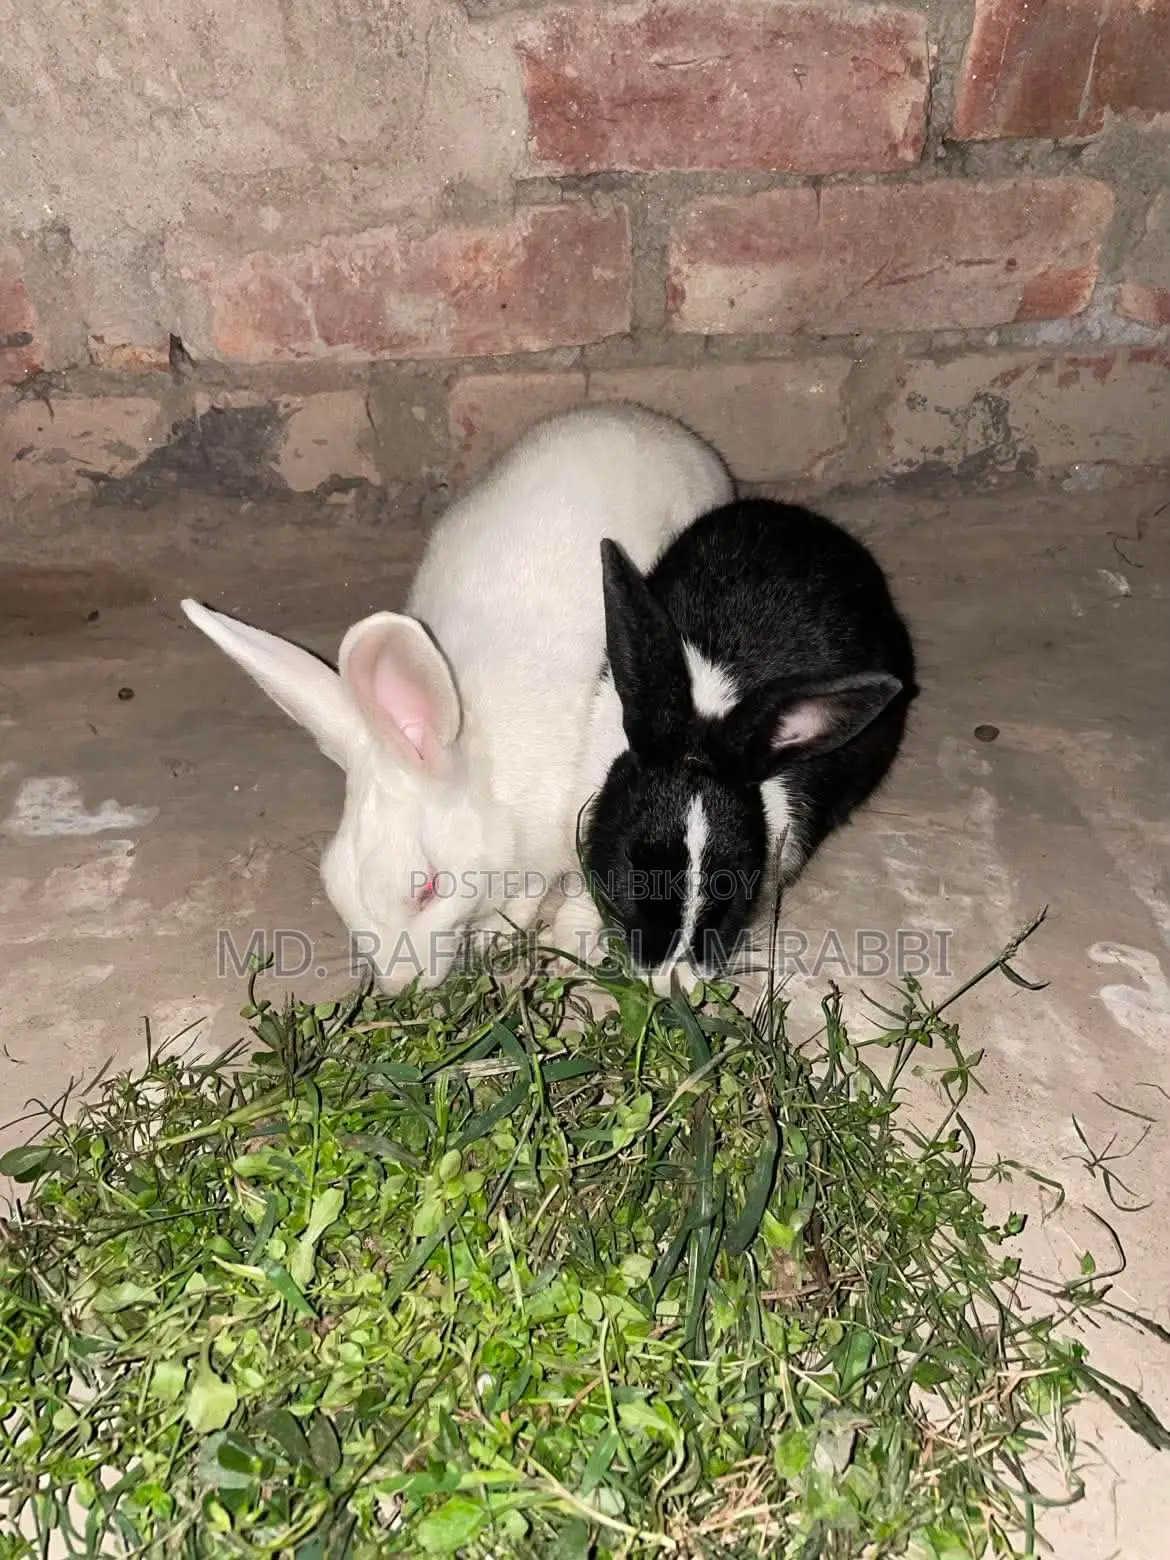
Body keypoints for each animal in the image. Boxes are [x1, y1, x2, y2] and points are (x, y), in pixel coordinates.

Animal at [180, 401, 734, 994]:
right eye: (333, 881)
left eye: (428, 888)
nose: (401, 985)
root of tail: (658, 424)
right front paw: (498, 933)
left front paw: (555, 942)